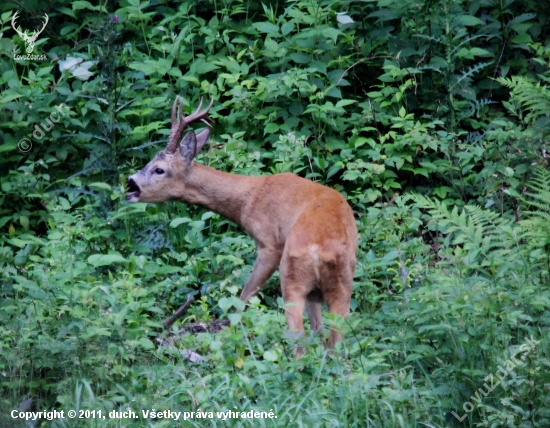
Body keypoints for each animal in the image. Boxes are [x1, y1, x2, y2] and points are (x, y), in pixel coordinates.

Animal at [126, 97, 358, 358]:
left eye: (159, 169)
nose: (130, 183)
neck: (250, 198)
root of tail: (319, 251)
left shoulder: (269, 244)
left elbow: (243, 297)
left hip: (291, 276)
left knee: (300, 340)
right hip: (341, 286)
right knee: (332, 342)